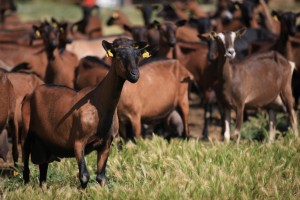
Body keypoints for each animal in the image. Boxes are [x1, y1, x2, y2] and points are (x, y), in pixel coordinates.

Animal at [21, 37, 155, 188]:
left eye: (138, 55)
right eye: (118, 55)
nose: (135, 75)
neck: (99, 105)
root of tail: (29, 95)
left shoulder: (106, 143)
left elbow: (101, 177)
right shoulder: (78, 142)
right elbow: (84, 176)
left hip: (44, 142)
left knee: (43, 167)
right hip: (26, 133)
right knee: (26, 166)